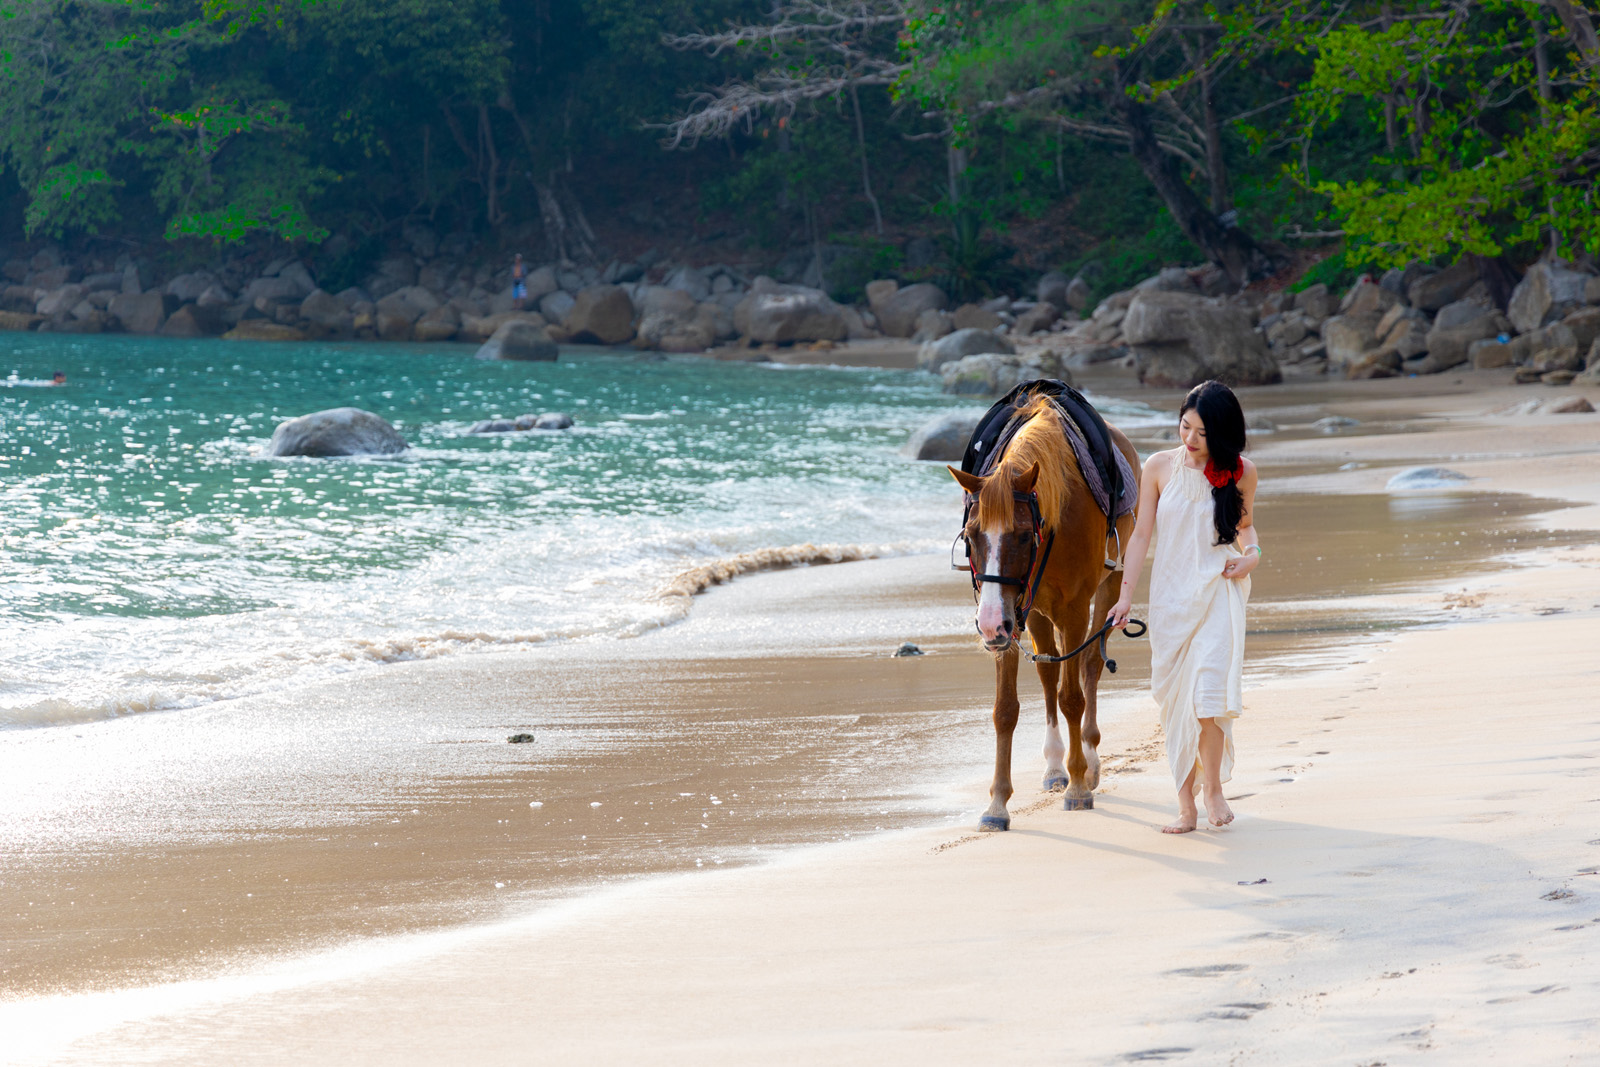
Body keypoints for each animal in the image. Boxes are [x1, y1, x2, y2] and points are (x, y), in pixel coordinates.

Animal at [948, 395, 1141, 830]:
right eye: (971, 535)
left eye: (1022, 536)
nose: (987, 623)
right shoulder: (1008, 618)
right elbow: (1006, 709)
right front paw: (997, 804)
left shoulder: (1072, 610)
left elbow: (1072, 697)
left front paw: (1079, 787)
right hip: (1030, 612)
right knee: (1049, 669)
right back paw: (1056, 766)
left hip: (1108, 587)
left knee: (1088, 665)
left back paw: (1088, 761)